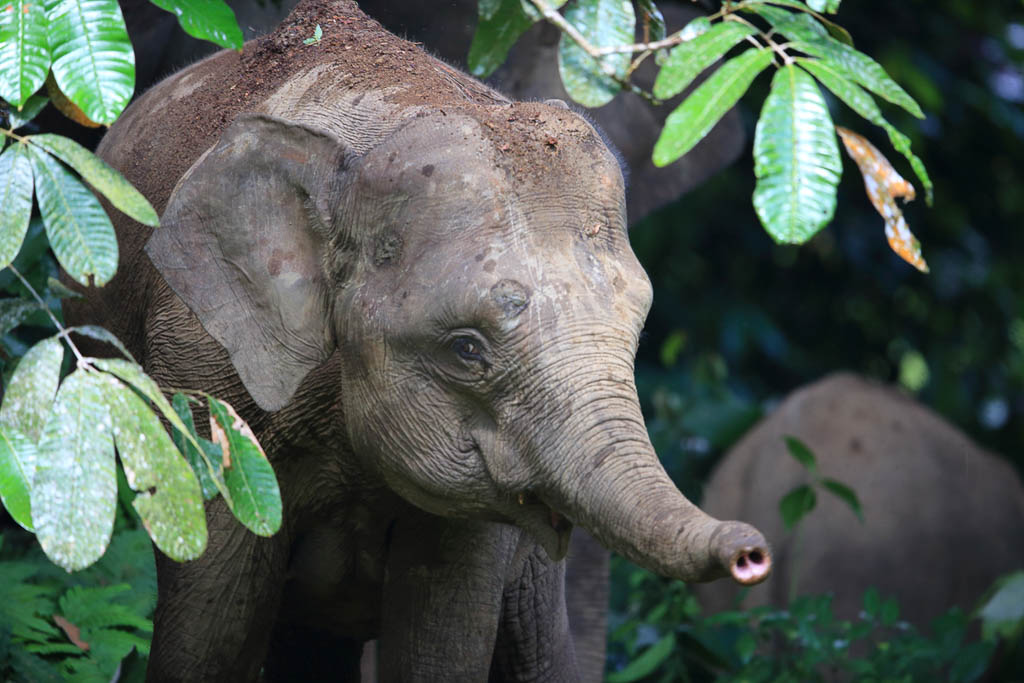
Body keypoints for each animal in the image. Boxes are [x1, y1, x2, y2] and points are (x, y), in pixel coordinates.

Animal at [66, 0, 771, 679]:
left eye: (636, 332)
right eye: (466, 348)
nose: (750, 553)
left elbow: (440, 642)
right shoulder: (202, 372)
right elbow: (210, 633)